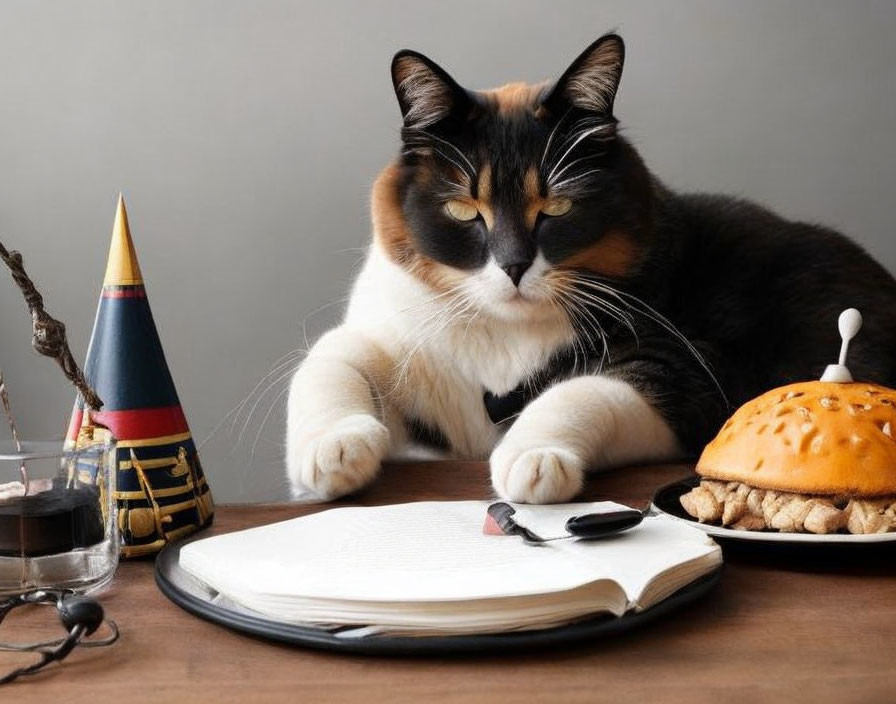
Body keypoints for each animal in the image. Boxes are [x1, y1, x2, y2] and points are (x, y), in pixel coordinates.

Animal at [286, 34, 896, 500]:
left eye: (556, 207)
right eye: (464, 209)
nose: (514, 266)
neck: (506, 333)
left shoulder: (681, 370)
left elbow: (586, 390)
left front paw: (532, 455)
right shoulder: (401, 336)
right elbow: (335, 354)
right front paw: (330, 450)